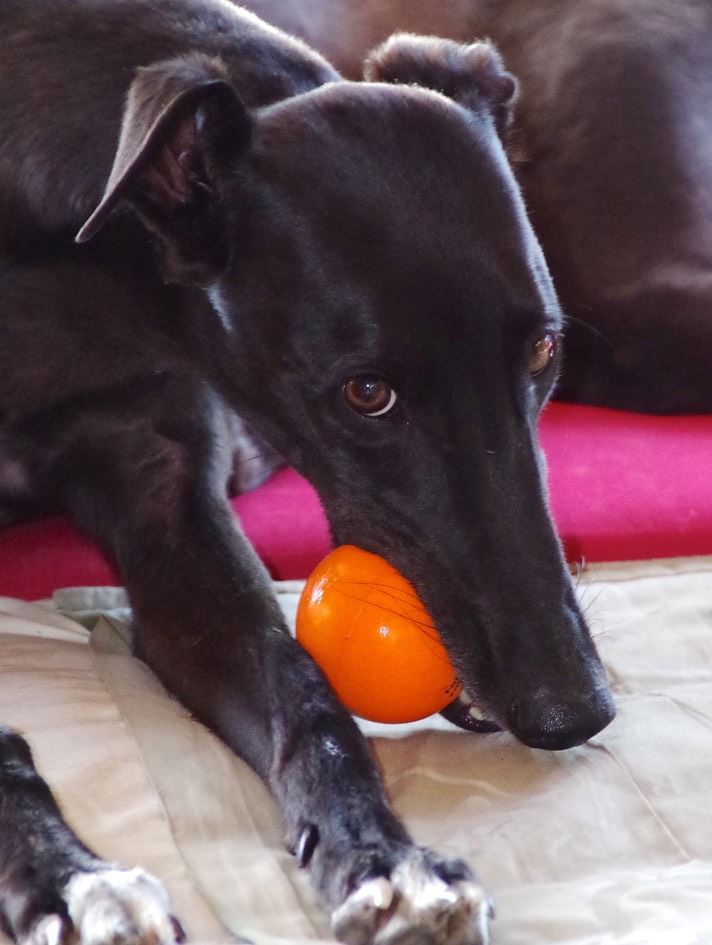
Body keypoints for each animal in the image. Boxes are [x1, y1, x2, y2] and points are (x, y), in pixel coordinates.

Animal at [0, 1, 612, 944]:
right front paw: (73, 879)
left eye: (544, 349)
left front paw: (386, 859)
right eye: (367, 392)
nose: (576, 710)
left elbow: (304, 686)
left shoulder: (162, 490)